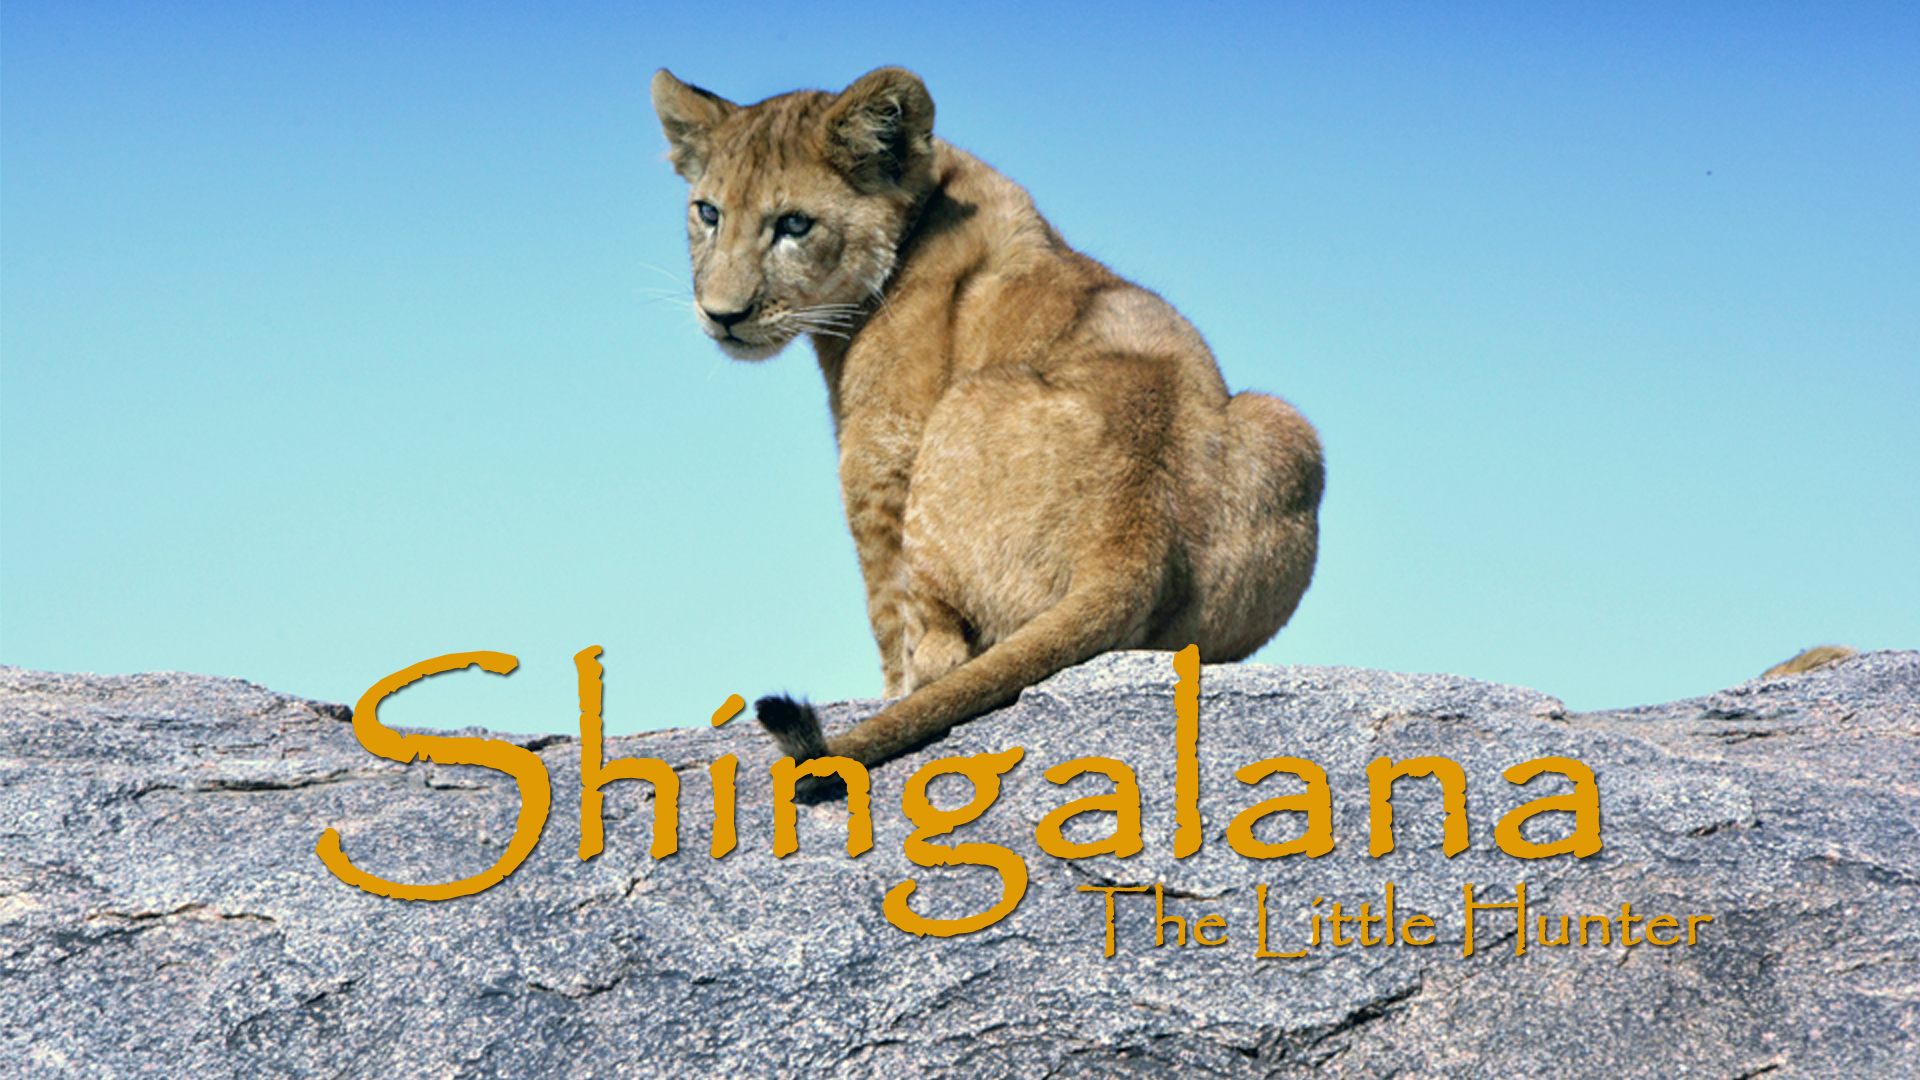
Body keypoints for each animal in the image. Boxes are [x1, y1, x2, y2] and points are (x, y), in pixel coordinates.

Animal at [651, 66, 1323, 770]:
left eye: (794, 224)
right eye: (708, 213)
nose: (722, 315)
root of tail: (1130, 544)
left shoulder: (878, 457)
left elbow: (886, 609)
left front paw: (888, 691)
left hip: (962, 405)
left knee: (943, 654)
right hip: (1285, 424)